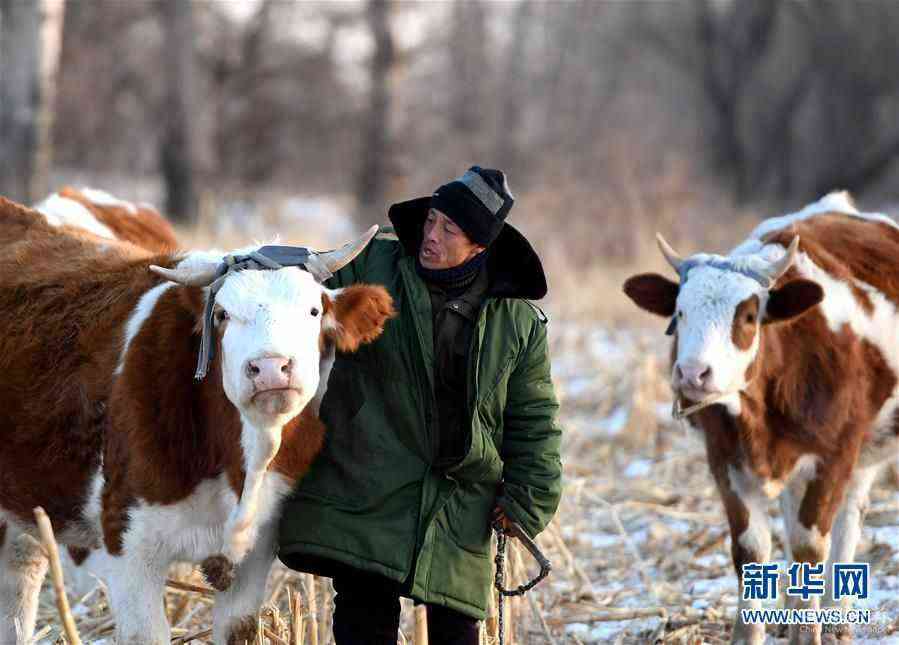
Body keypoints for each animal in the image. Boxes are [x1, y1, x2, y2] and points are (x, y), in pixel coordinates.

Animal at [0, 197, 394, 644]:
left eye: (314, 310)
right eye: (221, 314)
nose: (270, 368)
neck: (242, 465)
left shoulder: (257, 552)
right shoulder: (129, 546)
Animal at [624, 192, 899, 644]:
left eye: (749, 316)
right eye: (679, 313)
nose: (692, 374)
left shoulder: (833, 455)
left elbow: (809, 546)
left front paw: (808, 632)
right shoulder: (725, 459)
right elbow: (751, 550)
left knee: (848, 519)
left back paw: (836, 619)